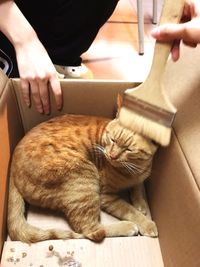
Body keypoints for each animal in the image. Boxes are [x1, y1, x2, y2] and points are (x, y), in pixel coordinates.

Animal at [7, 114, 158, 244]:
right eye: (112, 140)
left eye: (128, 149)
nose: (112, 155)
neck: (134, 169)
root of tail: (13, 168)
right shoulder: (106, 196)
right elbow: (129, 210)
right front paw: (146, 223)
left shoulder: (140, 178)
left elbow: (138, 188)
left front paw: (142, 204)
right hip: (85, 175)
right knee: (92, 231)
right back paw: (126, 227)